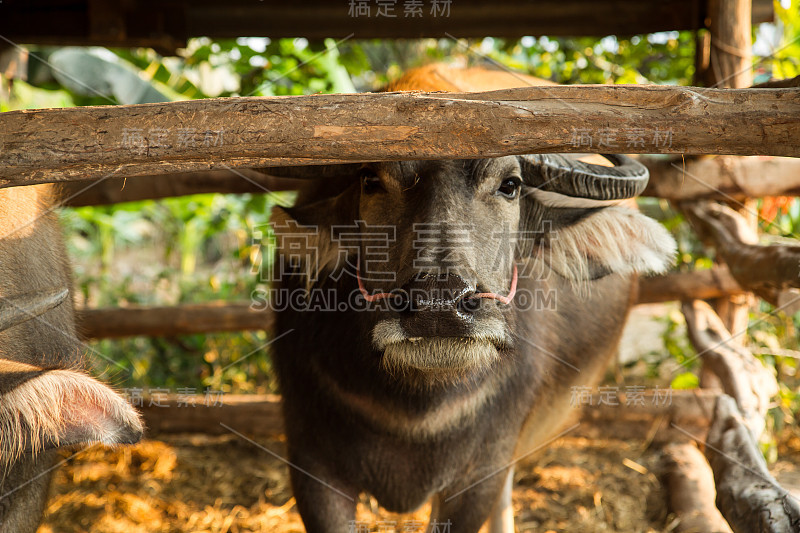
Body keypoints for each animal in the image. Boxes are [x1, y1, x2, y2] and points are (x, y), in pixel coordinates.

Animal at [268, 63, 676, 532]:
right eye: (371, 180)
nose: (439, 307)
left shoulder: (480, 472)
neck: (417, 408)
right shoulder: (311, 465)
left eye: (510, 185)